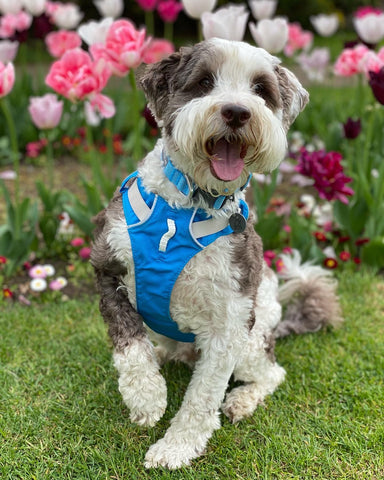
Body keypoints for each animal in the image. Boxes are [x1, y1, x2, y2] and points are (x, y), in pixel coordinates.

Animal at [91, 39, 342, 470]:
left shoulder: (231, 319)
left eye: (260, 90)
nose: (237, 112)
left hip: (253, 341)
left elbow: (203, 396)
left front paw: (176, 446)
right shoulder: (107, 267)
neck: (189, 203)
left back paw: (242, 399)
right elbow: (131, 348)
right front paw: (147, 396)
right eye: (205, 82)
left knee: (273, 373)